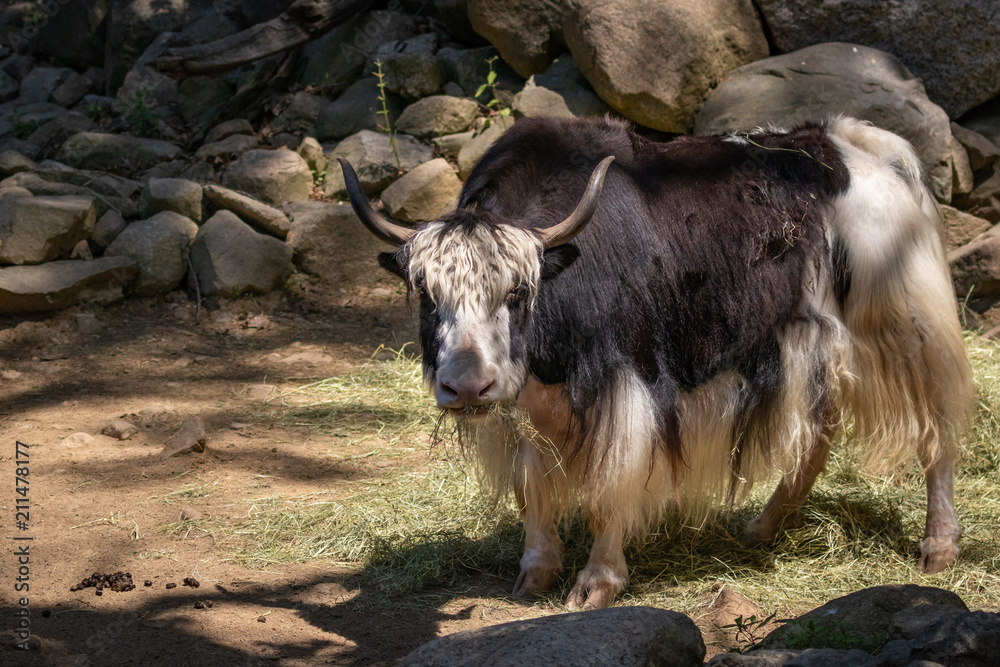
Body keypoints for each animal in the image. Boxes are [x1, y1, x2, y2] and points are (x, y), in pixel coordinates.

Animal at [338, 115, 973, 610]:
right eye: (426, 293)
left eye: (518, 292)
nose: (467, 388)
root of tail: (862, 148)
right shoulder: (527, 398)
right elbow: (529, 480)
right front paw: (535, 573)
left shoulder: (628, 384)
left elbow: (611, 480)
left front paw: (595, 583)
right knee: (818, 433)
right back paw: (759, 530)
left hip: (904, 325)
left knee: (937, 427)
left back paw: (938, 548)